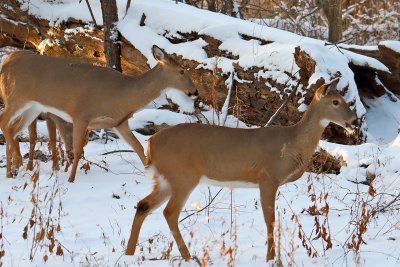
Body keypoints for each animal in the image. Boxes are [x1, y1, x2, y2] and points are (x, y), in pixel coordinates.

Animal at [0, 46, 198, 183]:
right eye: (181, 71)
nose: (195, 91)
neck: (122, 94)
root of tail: (6, 60)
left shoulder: (119, 123)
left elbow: (138, 148)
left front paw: (152, 177)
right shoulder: (81, 114)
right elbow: (77, 150)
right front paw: (71, 180)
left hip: (32, 108)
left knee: (13, 129)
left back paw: (11, 171)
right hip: (16, 97)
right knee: (4, 121)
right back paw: (17, 164)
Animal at [125, 78, 360, 262]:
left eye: (345, 100)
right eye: (336, 102)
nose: (355, 121)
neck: (292, 143)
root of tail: (150, 144)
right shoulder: (268, 177)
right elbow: (270, 220)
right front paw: (271, 258)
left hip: (167, 179)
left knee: (143, 205)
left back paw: (129, 254)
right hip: (183, 176)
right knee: (169, 212)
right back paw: (188, 256)